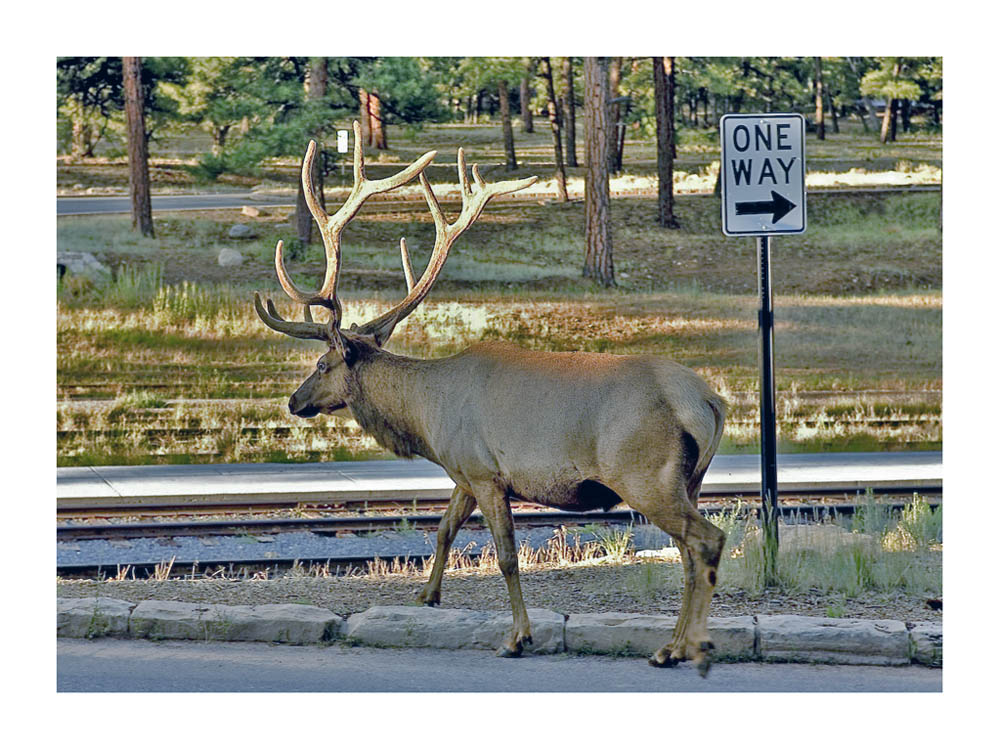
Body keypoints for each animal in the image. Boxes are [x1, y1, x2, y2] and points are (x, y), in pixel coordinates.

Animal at [256, 122, 728, 676]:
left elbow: (505, 556)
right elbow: (443, 529)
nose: (294, 401)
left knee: (707, 541)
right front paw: (426, 596)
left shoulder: (485, 472)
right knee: (688, 554)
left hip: (644, 474)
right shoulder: (464, 470)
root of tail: (709, 403)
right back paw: (671, 646)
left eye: (320, 365)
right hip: (688, 480)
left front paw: (517, 636)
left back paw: (686, 648)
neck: (427, 418)